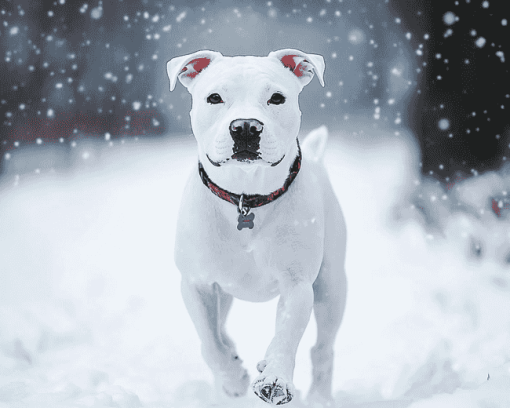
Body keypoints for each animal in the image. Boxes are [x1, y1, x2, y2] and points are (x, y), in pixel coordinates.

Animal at [167, 48, 346, 404]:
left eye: (277, 97)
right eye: (214, 98)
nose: (246, 127)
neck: (246, 197)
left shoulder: (297, 284)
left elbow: (286, 335)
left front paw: (275, 378)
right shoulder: (196, 282)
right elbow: (210, 342)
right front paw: (233, 377)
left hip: (333, 284)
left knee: (323, 348)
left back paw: (319, 397)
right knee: (219, 332)